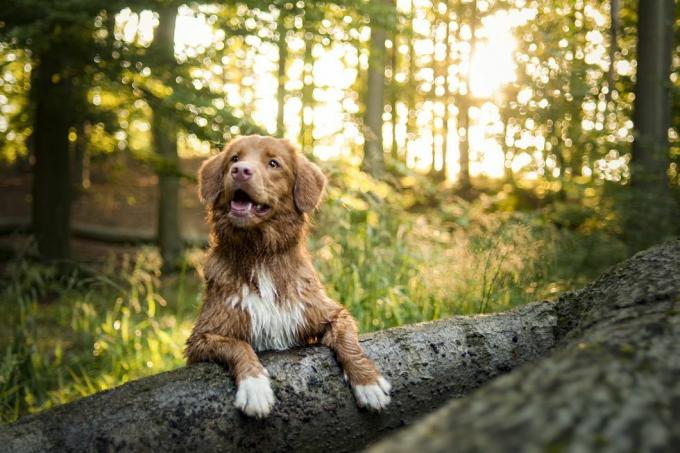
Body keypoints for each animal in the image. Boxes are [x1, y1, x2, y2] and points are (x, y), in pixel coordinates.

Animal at [186, 133, 390, 416]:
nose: (240, 170)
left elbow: (347, 340)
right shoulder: (200, 338)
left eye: (273, 163)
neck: (260, 253)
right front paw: (255, 386)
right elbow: (237, 345)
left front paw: (368, 382)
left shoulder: (329, 312)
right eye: (234, 159)